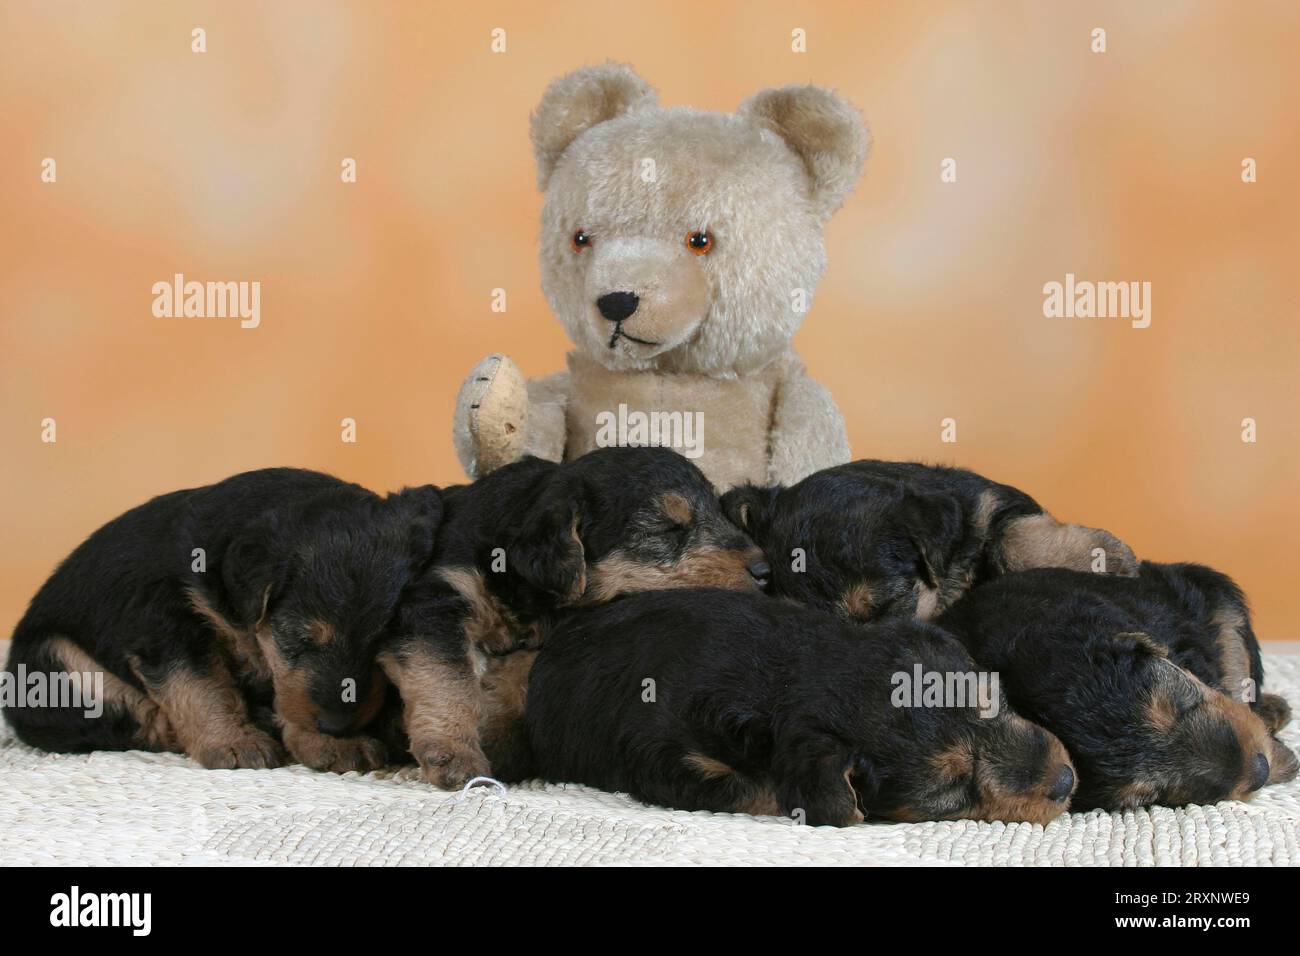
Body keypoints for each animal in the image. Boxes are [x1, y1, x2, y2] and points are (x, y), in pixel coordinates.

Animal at [1, 468, 441, 775]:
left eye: (380, 642)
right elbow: (200, 686)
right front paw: (233, 743)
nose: (337, 725)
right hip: (59, 665)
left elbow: (281, 693)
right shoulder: (166, 622)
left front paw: (330, 743)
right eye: (298, 639)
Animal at [379, 444, 764, 790]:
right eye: (668, 528)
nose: (765, 570)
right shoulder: (438, 599)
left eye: (720, 511)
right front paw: (454, 754)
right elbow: (447, 678)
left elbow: (515, 680)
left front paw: (496, 742)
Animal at [517, 587, 1076, 827]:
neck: (788, 670)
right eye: (952, 790)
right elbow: (759, 787)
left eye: (991, 700)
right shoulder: (671, 762)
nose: (1067, 782)